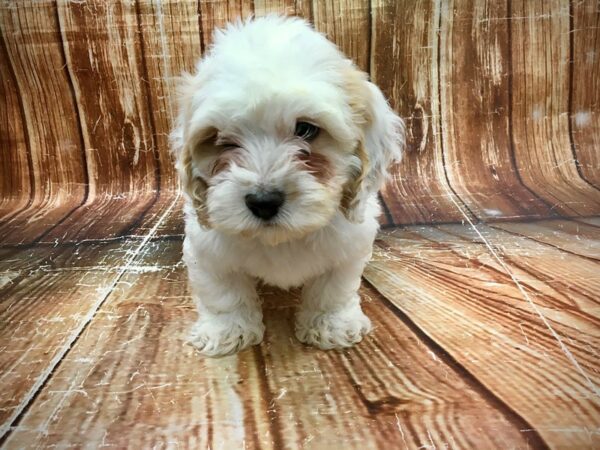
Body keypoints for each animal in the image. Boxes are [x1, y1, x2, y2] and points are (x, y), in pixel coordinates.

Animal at [171, 15, 406, 356]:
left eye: (306, 129)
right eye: (220, 139)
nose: (263, 201)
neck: (282, 239)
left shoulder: (349, 246)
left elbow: (333, 290)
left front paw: (331, 325)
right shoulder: (208, 251)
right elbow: (223, 293)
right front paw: (227, 330)